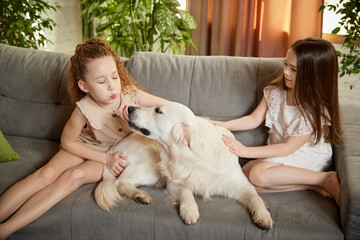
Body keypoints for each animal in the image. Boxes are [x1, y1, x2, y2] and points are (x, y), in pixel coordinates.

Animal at [126, 101, 272, 229]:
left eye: (158, 110)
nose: (129, 108)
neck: (191, 156)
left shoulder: (242, 185)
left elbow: (256, 198)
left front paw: (263, 216)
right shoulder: (173, 183)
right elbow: (185, 190)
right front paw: (189, 210)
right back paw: (139, 194)